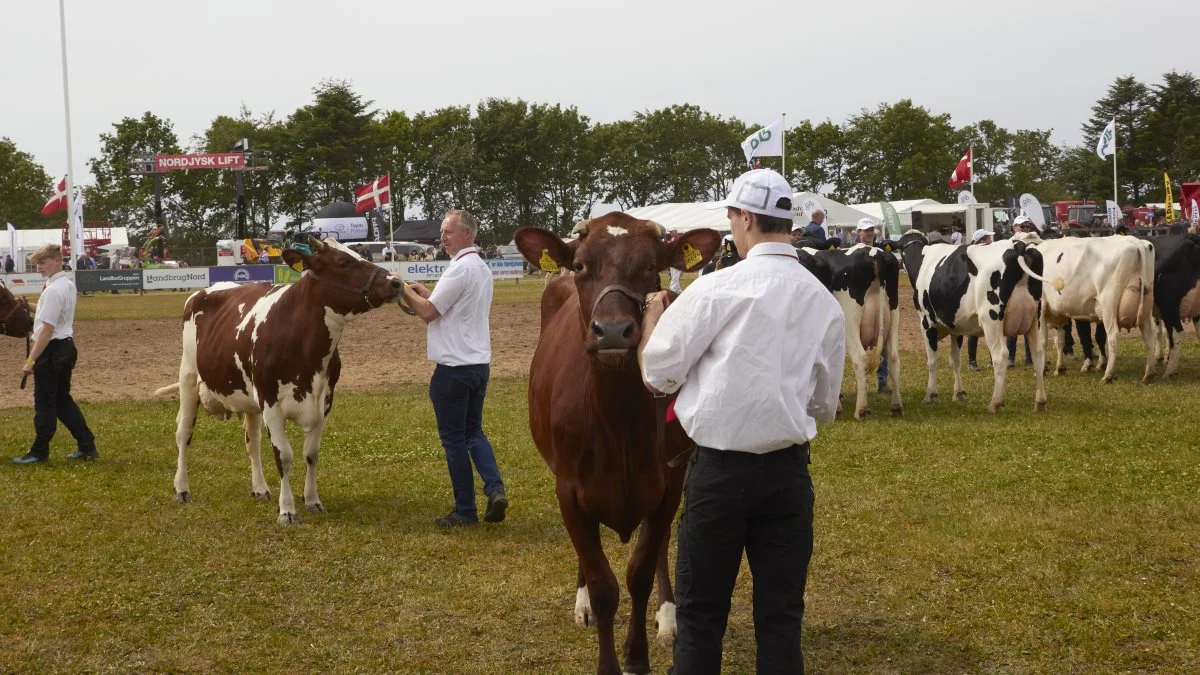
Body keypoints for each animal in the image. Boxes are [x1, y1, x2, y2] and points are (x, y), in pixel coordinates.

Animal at [154, 239, 403, 523]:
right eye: (343, 262)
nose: (396, 282)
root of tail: (205, 291)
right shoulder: (270, 401)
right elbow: (283, 456)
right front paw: (287, 510)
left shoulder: (324, 402)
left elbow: (311, 455)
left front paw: (312, 501)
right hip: (188, 376)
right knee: (183, 433)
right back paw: (182, 489)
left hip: (248, 398)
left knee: (251, 442)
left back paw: (260, 488)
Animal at [516, 213, 720, 672]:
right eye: (580, 266)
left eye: (649, 266)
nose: (611, 330)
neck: (619, 423)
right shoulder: (569, 492)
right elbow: (603, 586)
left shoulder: (667, 484)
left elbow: (639, 573)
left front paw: (638, 656)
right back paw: (582, 605)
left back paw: (668, 615)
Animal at [801, 241, 902, 417]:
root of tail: (873, 253)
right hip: (893, 315)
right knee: (894, 358)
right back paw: (896, 406)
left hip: (850, 322)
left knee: (860, 358)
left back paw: (861, 410)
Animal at [897, 229, 1046, 410]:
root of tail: (1018, 245)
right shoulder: (956, 326)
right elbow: (955, 360)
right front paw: (959, 393)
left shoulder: (926, 321)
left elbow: (932, 360)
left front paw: (931, 395)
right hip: (1034, 318)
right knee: (1038, 353)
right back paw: (1040, 402)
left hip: (991, 319)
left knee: (1000, 356)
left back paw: (995, 403)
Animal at [1017, 234, 1156, 384]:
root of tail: (1133, 240)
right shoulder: (1060, 314)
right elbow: (1060, 340)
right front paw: (1060, 368)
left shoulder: (1041, 310)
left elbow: (1042, 342)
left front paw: (1042, 370)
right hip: (1146, 308)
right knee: (1150, 337)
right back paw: (1148, 373)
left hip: (1108, 304)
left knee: (1113, 336)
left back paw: (1108, 375)